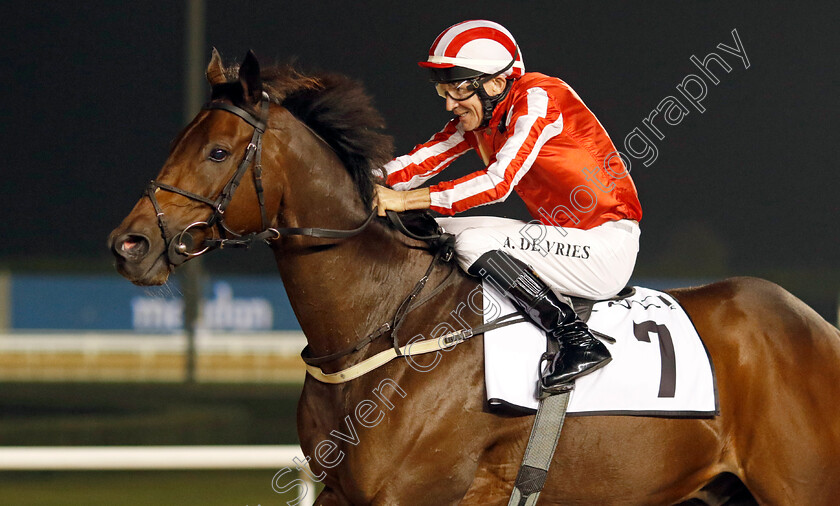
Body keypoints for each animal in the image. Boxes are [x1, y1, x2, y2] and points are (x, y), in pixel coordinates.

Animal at [111, 50, 840, 502]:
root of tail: (815, 327)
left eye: (217, 151)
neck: (386, 328)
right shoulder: (343, 493)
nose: (129, 244)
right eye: (180, 140)